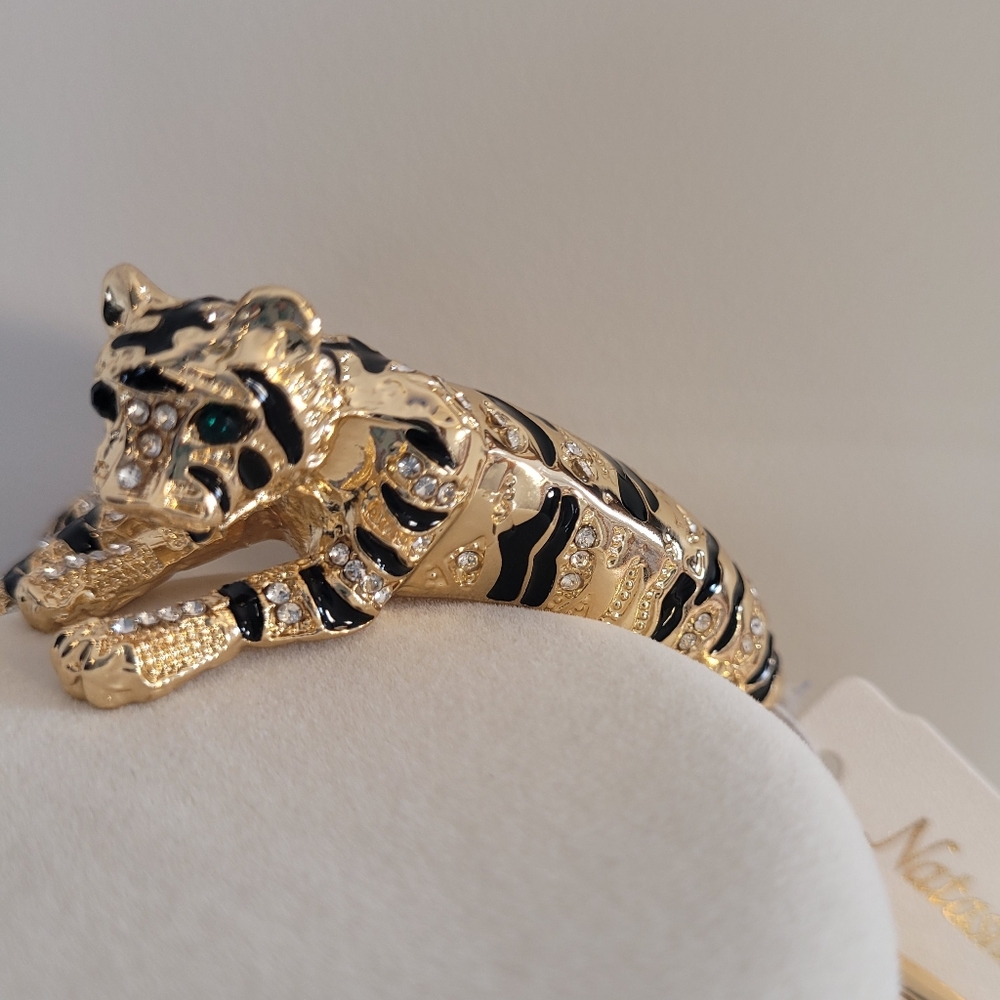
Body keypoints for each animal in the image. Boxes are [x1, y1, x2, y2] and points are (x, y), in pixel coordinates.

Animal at [1, 264, 781, 708]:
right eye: (105, 403)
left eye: (219, 418)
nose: (119, 492)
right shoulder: (242, 506)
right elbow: (162, 547)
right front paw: (58, 579)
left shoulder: (349, 576)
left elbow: (240, 602)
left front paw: (113, 644)